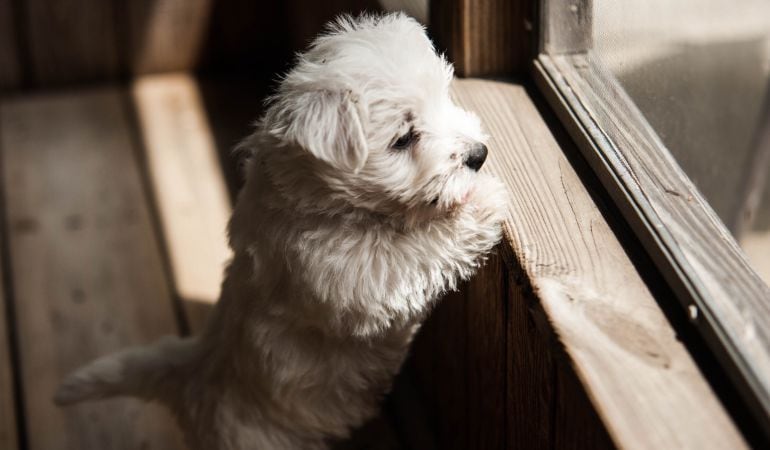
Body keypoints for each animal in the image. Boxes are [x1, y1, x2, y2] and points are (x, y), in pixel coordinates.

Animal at [57, 12, 508, 448]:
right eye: (404, 138)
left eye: (443, 97)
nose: (479, 154)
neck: (326, 202)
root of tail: (189, 372)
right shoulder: (355, 277)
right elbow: (418, 250)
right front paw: (484, 202)